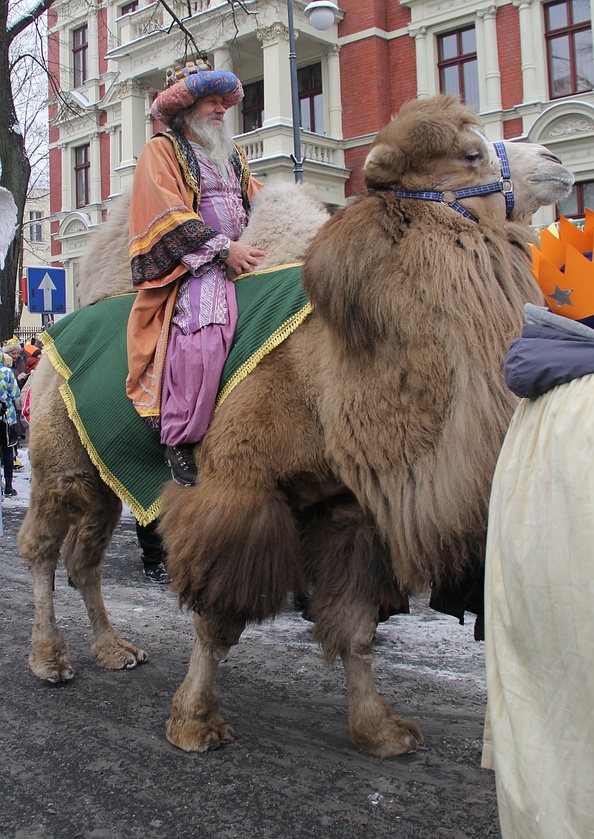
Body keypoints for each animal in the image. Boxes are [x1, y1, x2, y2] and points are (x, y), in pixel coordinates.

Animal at [19, 95, 572, 756]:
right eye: (469, 154)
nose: (556, 161)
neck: (327, 368)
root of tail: (52, 334)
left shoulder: (348, 509)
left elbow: (356, 625)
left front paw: (379, 728)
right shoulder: (237, 488)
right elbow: (218, 618)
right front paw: (195, 722)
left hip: (104, 473)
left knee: (85, 557)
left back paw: (112, 648)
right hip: (60, 463)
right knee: (43, 551)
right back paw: (49, 660)